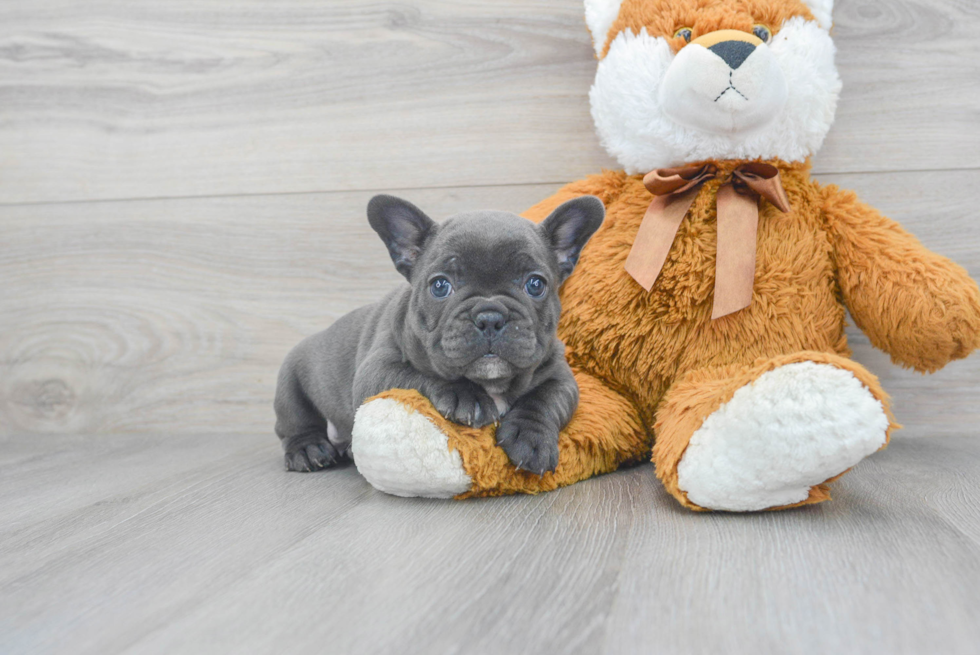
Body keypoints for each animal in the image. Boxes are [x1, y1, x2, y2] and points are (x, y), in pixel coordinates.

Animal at [272, 195, 600, 476]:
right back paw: (309, 449)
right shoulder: (375, 372)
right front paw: (464, 395)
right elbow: (417, 377)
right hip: (289, 380)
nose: (490, 317)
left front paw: (530, 436)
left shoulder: (561, 377)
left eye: (535, 284)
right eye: (440, 286)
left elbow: (544, 400)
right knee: (295, 424)